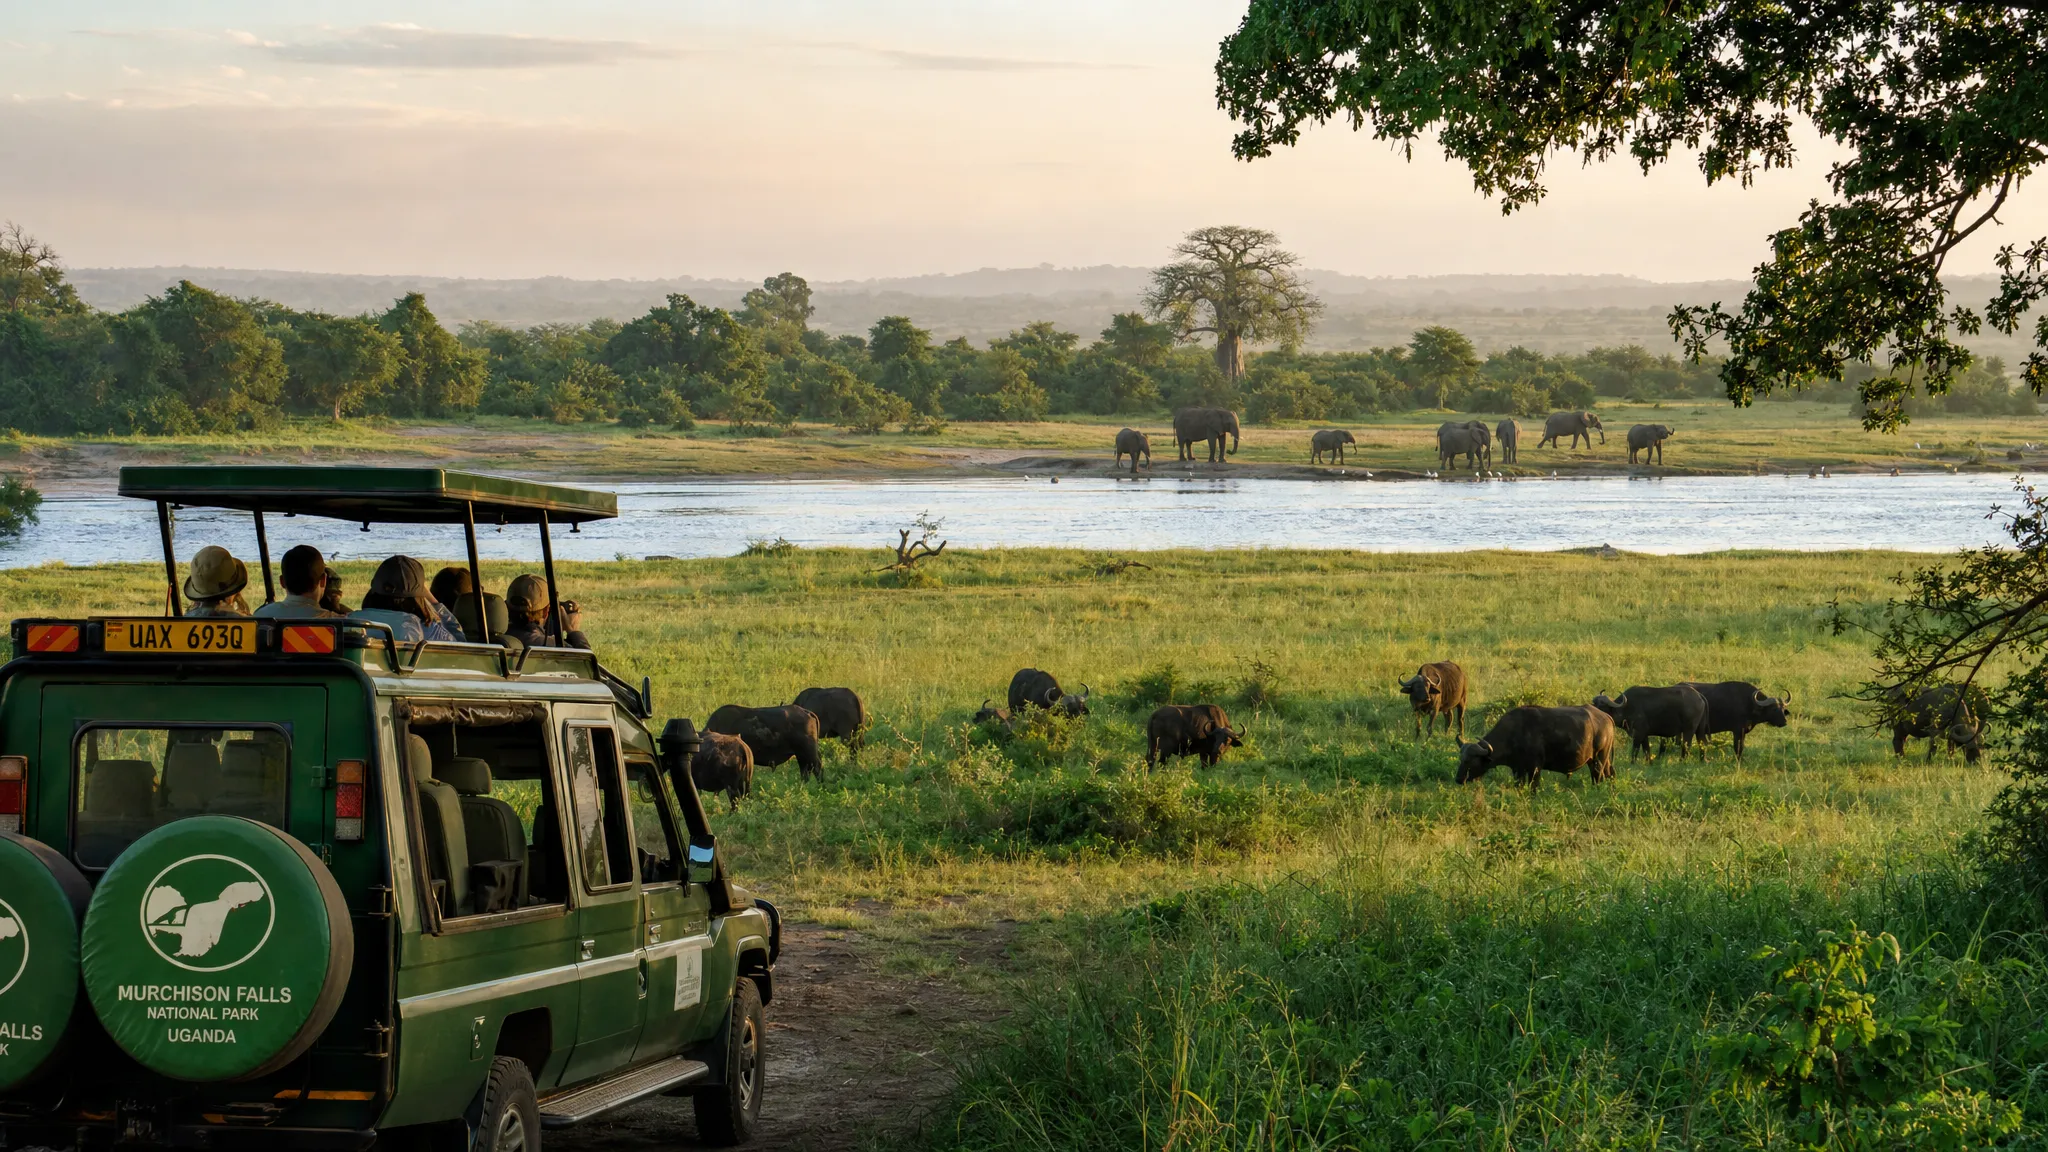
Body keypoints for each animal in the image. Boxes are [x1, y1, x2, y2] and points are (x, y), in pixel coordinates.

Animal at [1457, 705, 1616, 788]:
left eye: (1469, 761)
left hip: (1599, 759)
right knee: (1609, 774)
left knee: (1599, 777)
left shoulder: (1535, 768)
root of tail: (1607, 717)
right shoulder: (1518, 770)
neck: (1515, 733)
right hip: (1599, 760)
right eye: (1461, 759)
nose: (1458, 779)